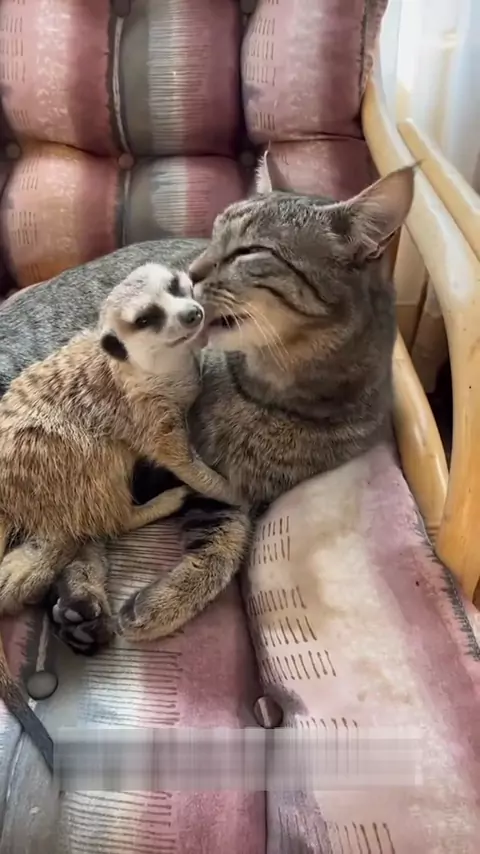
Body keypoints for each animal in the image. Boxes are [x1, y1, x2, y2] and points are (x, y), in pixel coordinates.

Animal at [0, 157, 414, 651]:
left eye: (250, 252)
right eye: (214, 236)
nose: (189, 274)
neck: (273, 393)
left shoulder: (236, 485)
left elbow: (225, 537)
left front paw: (164, 601)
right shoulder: (165, 454)